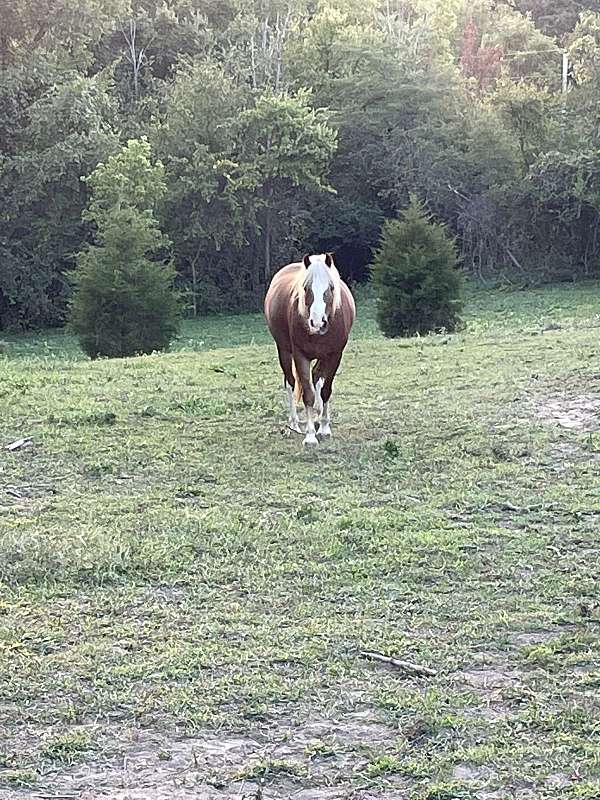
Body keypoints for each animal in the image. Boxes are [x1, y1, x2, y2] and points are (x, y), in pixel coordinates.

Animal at [264, 253, 356, 446]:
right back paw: (294, 424)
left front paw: (324, 428)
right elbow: (308, 394)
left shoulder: (335, 355)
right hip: (284, 351)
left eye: (330, 287)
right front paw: (310, 436)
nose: (317, 323)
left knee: (317, 378)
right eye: (306, 288)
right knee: (290, 383)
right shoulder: (300, 356)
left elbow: (325, 390)